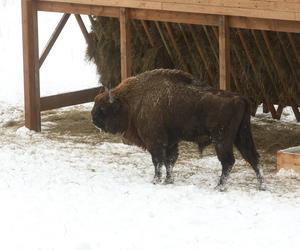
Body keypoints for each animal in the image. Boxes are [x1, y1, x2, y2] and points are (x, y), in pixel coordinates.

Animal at [91, 68, 264, 189]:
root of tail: (240, 98)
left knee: (228, 161)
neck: (131, 101)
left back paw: (219, 187)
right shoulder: (171, 142)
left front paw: (156, 181)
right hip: (242, 136)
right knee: (253, 158)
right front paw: (169, 180)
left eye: (103, 108)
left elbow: (158, 162)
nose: (93, 118)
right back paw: (262, 186)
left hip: (221, 140)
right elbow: (170, 161)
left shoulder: (155, 142)